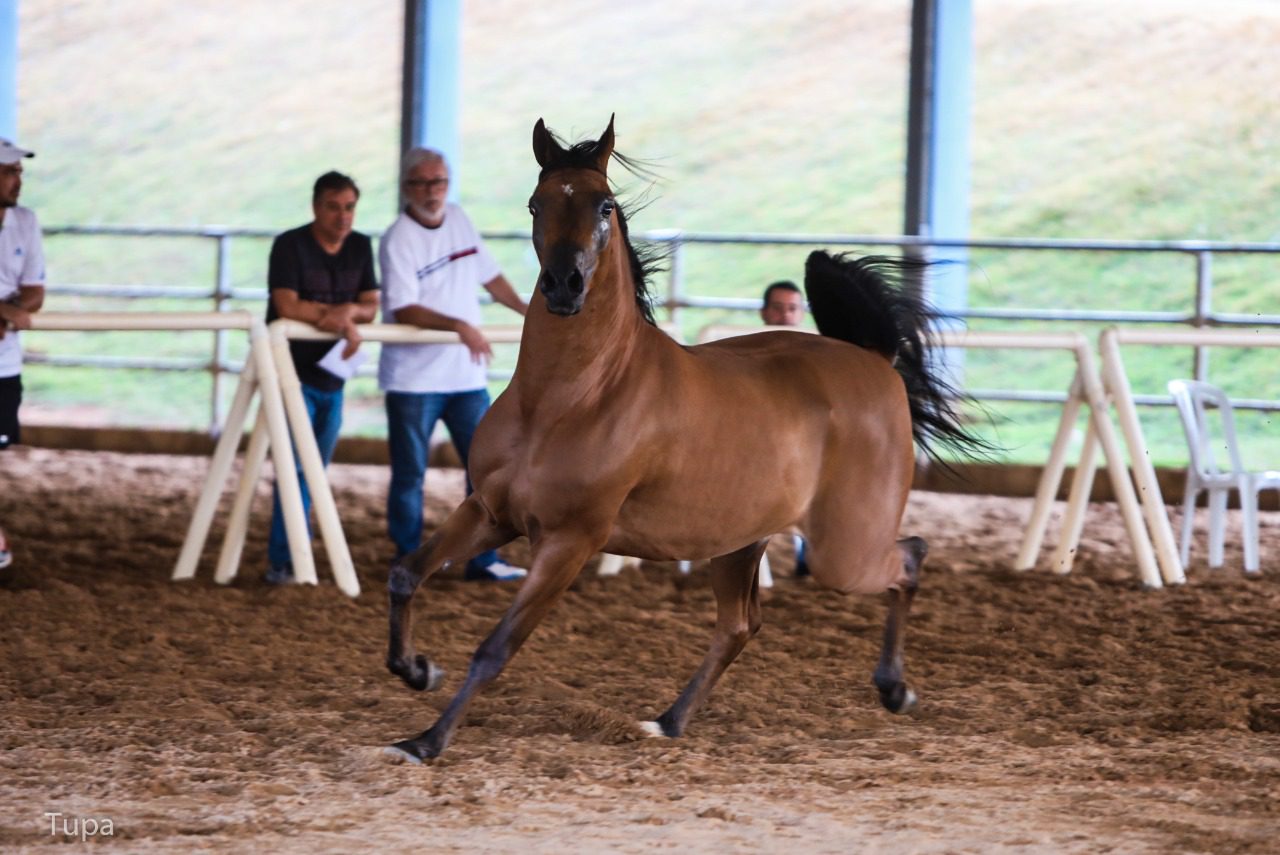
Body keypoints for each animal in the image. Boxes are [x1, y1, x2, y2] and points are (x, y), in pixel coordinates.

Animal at [378, 115, 977, 762]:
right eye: (536, 204)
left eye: (605, 205)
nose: (564, 286)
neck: (569, 399)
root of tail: (876, 361)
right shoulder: (490, 511)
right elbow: (406, 574)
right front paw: (416, 670)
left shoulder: (569, 541)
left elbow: (496, 647)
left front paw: (425, 741)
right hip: (740, 542)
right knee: (740, 625)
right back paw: (668, 721)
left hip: (844, 552)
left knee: (910, 558)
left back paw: (896, 690)